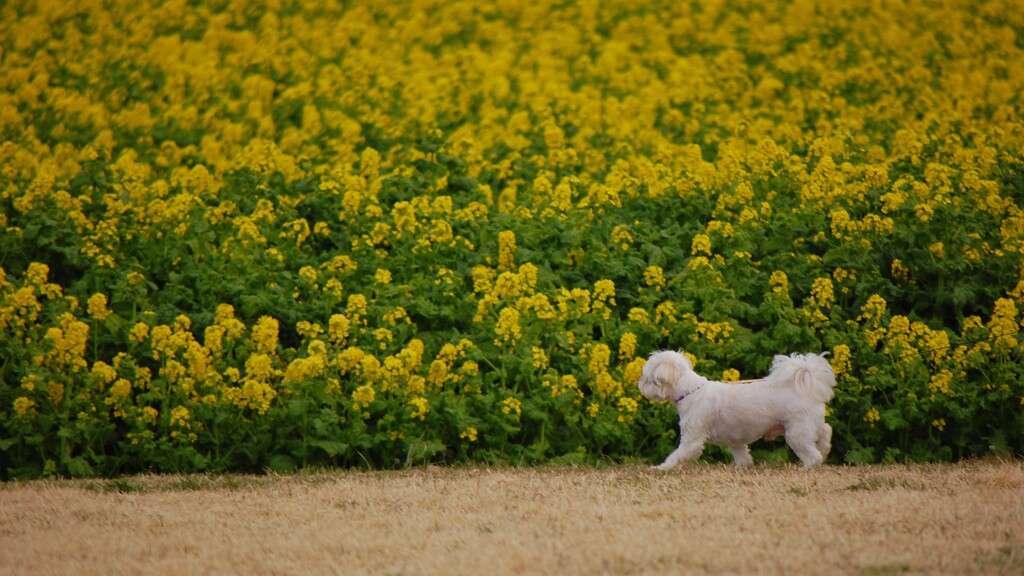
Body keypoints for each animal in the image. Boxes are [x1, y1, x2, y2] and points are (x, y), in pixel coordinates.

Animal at [634, 350, 835, 467]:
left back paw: (809, 466)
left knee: (813, 455)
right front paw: (742, 467)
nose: (639, 384)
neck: (691, 392)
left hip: (797, 432)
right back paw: (825, 449)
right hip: (810, 423)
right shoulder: (736, 439)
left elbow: (677, 455)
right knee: (826, 430)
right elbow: (742, 456)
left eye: (648, 380)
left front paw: (661, 468)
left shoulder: (693, 439)